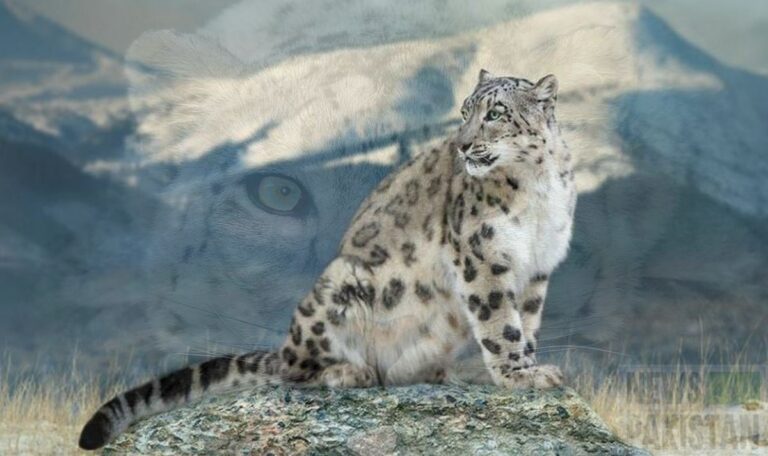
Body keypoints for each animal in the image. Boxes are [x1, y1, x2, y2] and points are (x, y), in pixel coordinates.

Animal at [79, 69, 576, 450]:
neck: (537, 190)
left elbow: (526, 321)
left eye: (495, 113)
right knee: (294, 371)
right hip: (341, 283)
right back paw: (350, 371)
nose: (463, 144)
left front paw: (529, 367)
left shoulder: (537, 267)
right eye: (464, 111)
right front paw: (518, 374)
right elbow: (499, 322)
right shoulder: (480, 256)